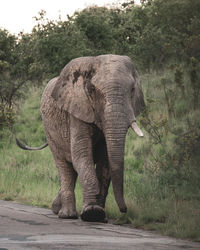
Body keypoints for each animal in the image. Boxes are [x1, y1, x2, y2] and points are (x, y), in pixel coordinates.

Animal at [16, 54, 145, 223]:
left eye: (132, 90)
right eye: (92, 89)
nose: (124, 210)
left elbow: (106, 161)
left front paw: (99, 216)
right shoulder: (76, 110)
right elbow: (82, 155)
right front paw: (92, 213)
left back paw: (57, 208)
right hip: (50, 133)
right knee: (65, 167)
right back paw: (66, 214)